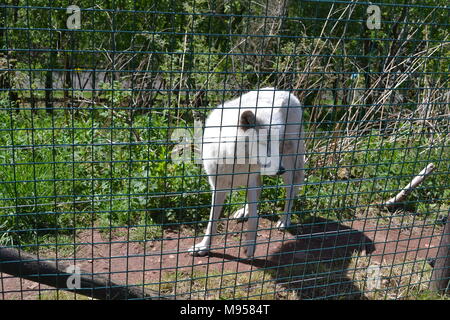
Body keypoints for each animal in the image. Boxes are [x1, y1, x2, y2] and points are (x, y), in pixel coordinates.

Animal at [188, 87, 304, 258]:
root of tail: (286, 92)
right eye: (263, 143)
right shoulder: (218, 186)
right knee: (260, 188)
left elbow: (255, 218)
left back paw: (284, 220)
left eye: (276, 143)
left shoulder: (250, 180)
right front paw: (203, 247)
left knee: (291, 192)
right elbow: (212, 221)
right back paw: (244, 212)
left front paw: (250, 246)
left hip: (290, 165)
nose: (280, 170)